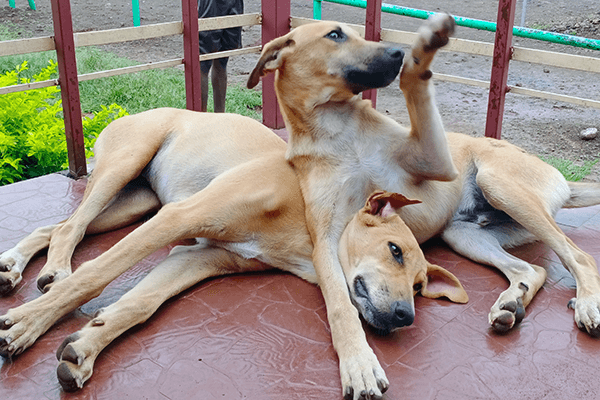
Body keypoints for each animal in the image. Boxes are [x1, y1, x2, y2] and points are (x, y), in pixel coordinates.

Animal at [0, 13, 596, 400]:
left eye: (422, 285)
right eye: (396, 252)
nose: (405, 317)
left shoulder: (196, 257)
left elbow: (137, 304)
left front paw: (83, 346)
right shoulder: (180, 220)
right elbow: (97, 277)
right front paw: (28, 325)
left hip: (136, 201)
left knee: (61, 224)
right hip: (129, 175)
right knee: (71, 229)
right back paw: (44, 275)